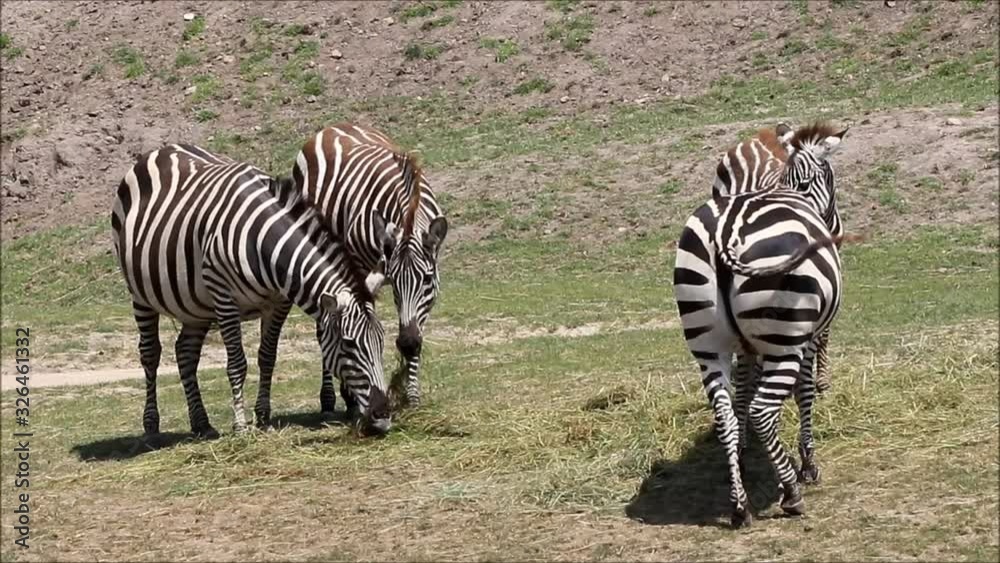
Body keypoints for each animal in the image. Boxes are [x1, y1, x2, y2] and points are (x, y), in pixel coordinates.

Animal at [109, 143, 390, 438]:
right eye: (348, 344)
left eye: (382, 339)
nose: (382, 415)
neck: (266, 244)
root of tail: (163, 149)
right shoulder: (223, 295)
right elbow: (237, 364)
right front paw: (241, 426)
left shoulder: (279, 302)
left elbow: (267, 357)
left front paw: (263, 417)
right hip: (140, 294)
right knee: (150, 353)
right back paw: (151, 425)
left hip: (194, 305)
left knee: (185, 352)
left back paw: (201, 423)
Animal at [292, 124, 450, 414]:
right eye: (395, 281)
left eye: (427, 280)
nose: (407, 344)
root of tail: (333, 127)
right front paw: (354, 396)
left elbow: (414, 327)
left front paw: (411, 395)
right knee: (323, 325)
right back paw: (330, 398)